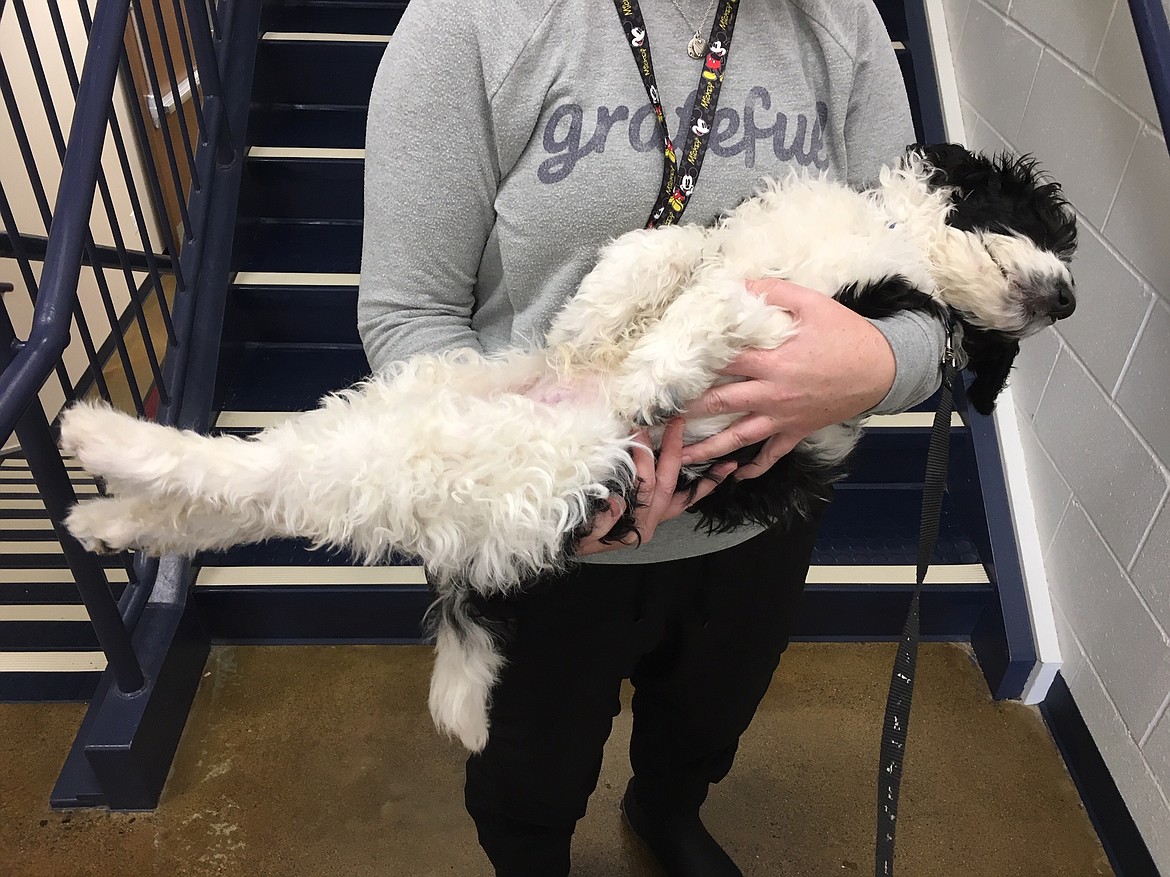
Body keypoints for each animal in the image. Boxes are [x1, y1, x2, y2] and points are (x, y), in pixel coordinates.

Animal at [57, 144, 1076, 757]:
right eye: (1045, 225)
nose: (1066, 300)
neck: (893, 240)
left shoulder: (822, 323)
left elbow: (726, 306)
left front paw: (674, 349)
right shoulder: (736, 241)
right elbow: (662, 247)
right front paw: (597, 320)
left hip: (464, 456)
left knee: (258, 483)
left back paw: (100, 452)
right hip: (436, 411)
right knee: (258, 488)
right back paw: (105, 507)